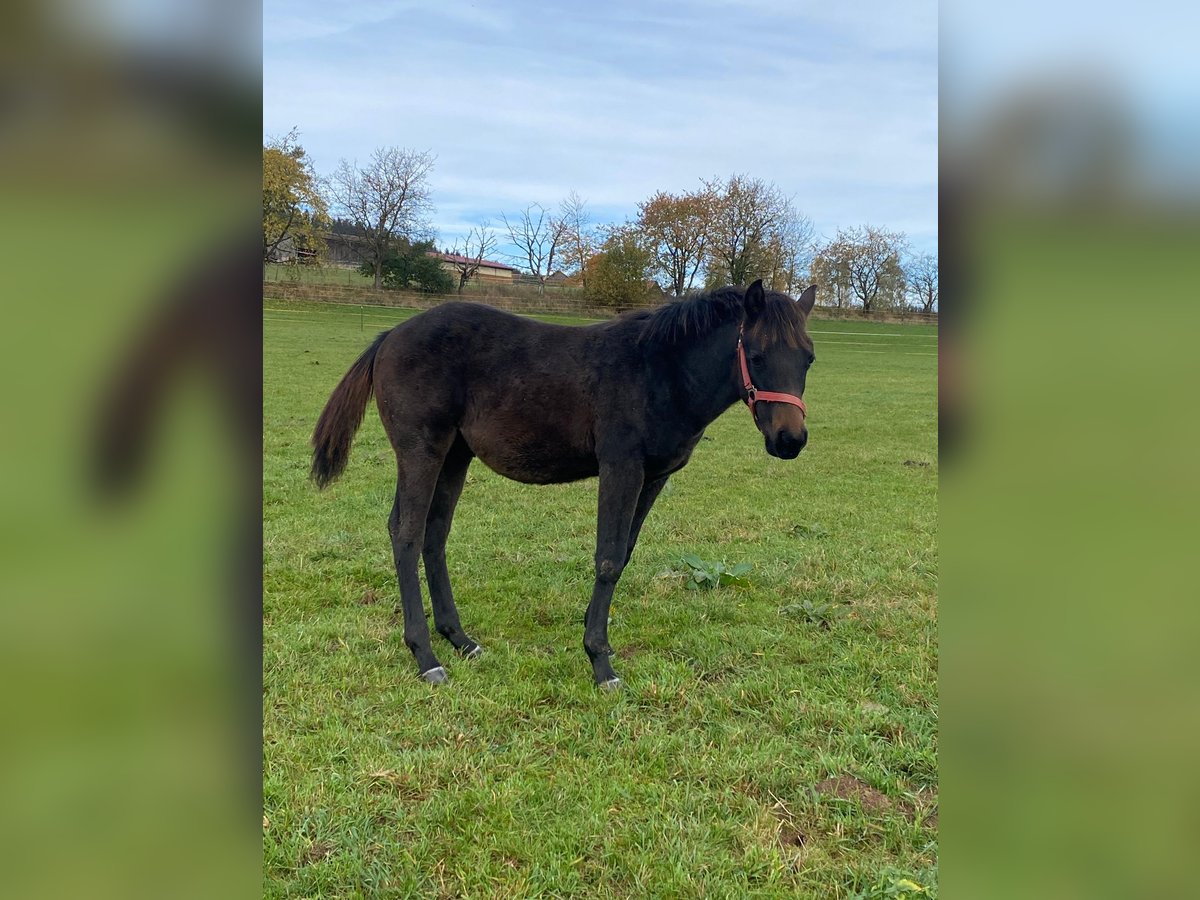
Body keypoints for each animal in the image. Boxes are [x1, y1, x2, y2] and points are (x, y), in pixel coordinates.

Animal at [312, 278, 816, 686]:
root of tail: (389, 337)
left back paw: (461, 640)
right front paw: (600, 662)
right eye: (756, 355)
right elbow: (608, 558)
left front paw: (594, 634)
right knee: (407, 533)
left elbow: (623, 555)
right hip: (422, 450)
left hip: (455, 456)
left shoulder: (654, 477)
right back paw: (426, 657)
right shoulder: (621, 467)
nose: (790, 440)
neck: (660, 371)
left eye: (808, 359)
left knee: (435, 535)